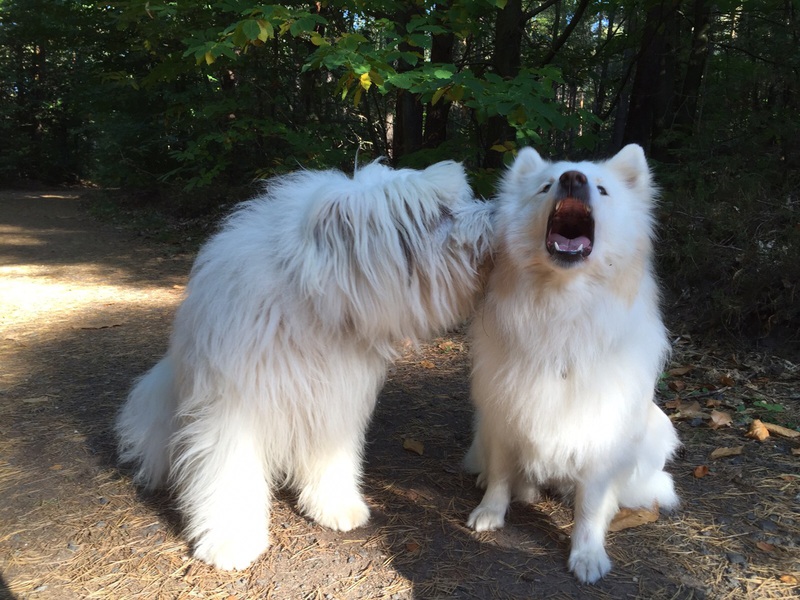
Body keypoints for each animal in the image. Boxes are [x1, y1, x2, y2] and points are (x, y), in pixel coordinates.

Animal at [116, 160, 493, 570]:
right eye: (438, 214)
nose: (494, 220)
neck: (312, 305)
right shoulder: (234, 411)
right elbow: (231, 473)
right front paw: (232, 541)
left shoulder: (333, 403)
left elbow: (332, 459)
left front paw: (336, 506)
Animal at [464, 145, 679, 583]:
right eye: (546, 185)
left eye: (602, 188)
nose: (573, 179)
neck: (562, 307)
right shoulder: (502, 414)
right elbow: (500, 473)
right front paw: (491, 512)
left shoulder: (600, 432)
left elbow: (591, 505)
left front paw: (587, 554)